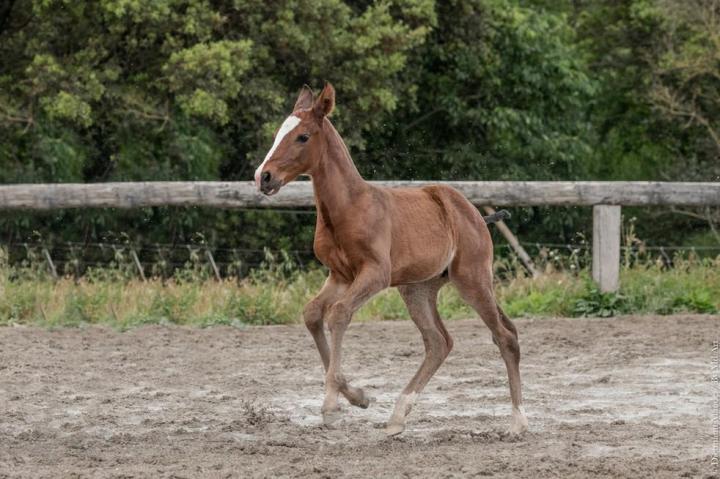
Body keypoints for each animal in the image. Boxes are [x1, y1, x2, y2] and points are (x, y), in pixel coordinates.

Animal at [253, 83, 528, 437]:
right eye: (278, 134)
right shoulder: (339, 275)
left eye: (302, 136)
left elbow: (338, 314)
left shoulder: (375, 273)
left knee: (505, 337)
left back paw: (518, 421)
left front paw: (331, 406)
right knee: (439, 341)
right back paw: (398, 416)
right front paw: (357, 397)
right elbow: (313, 313)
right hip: (418, 288)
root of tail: (476, 216)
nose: (263, 177)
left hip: (472, 280)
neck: (348, 208)